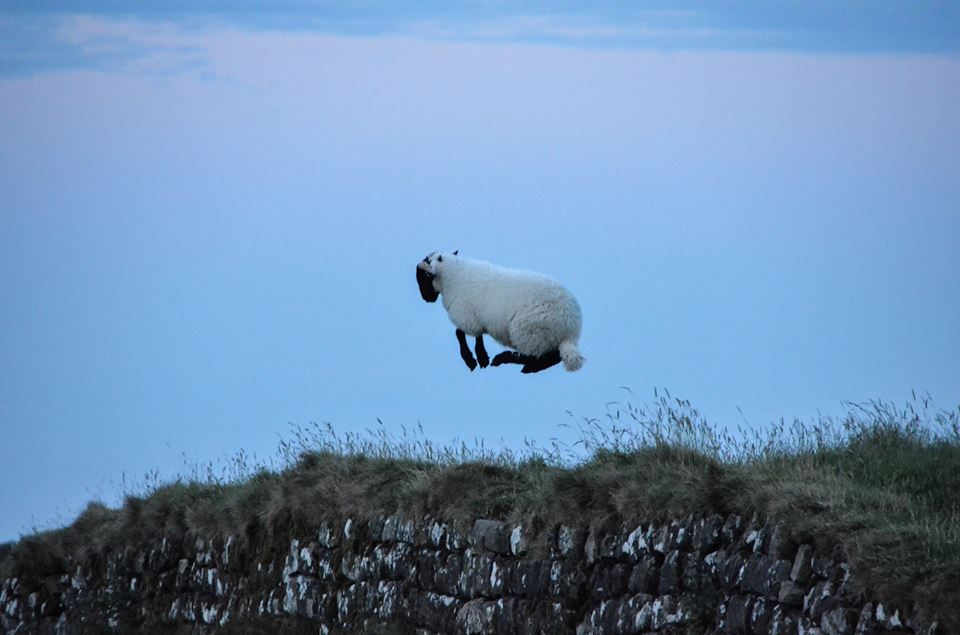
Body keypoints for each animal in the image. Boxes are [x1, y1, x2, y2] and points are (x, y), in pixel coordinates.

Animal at [416, 251, 584, 374]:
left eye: (423, 277)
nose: (426, 299)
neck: (452, 277)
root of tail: (571, 331)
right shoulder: (475, 320)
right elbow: (476, 336)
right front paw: (481, 357)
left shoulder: (466, 317)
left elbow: (460, 333)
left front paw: (473, 359)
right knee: (552, 357)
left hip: (528, 332)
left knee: (536, 357)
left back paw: (507, 360)